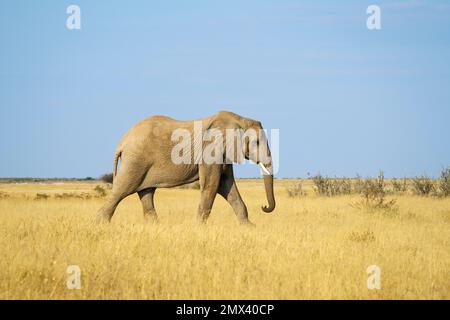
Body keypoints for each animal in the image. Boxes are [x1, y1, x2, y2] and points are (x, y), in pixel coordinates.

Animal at [96, 111, 276, 224]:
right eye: (256, 142)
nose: (264, 206)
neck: (238, 119)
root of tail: (122, 141)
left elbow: (227, 186)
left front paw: (249, 227)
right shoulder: (210, 151)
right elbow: (212, 186)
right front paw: (199, 228)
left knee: (146, 194)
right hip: (135, 162)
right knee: (120, 191)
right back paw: (100, 225)